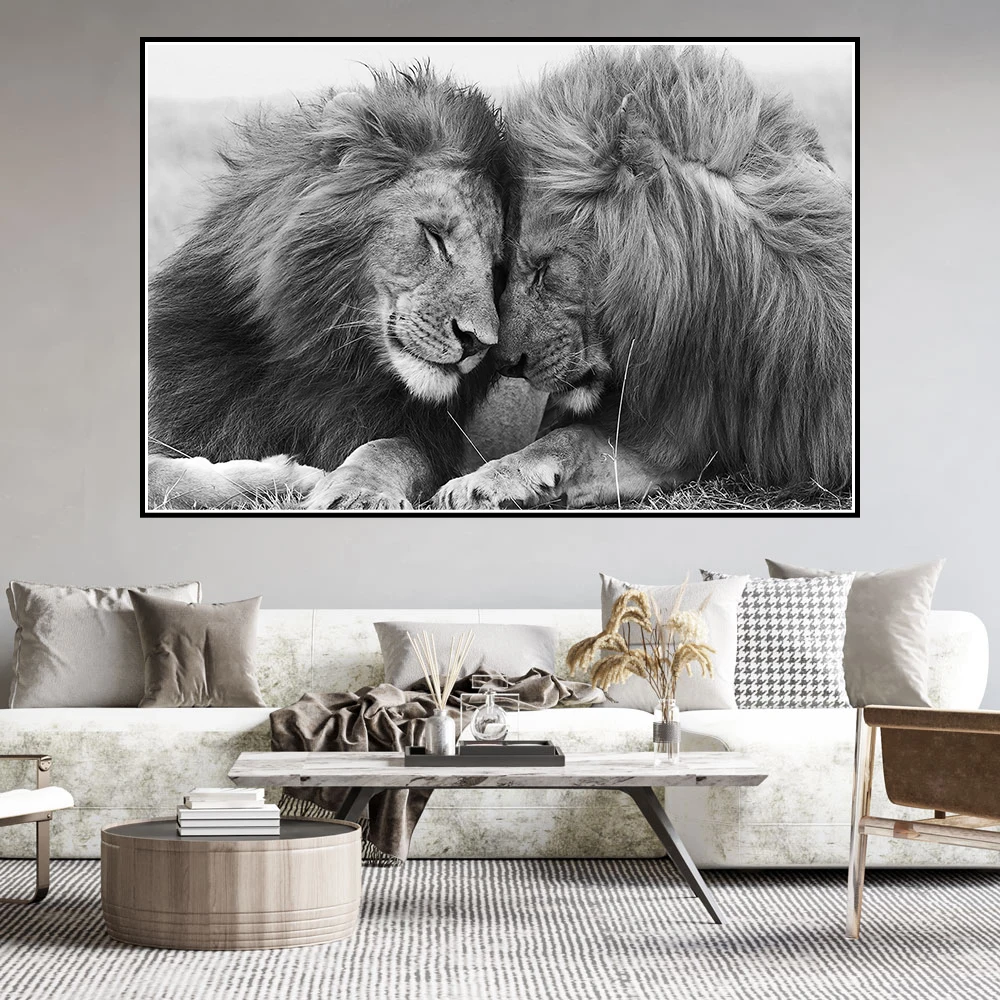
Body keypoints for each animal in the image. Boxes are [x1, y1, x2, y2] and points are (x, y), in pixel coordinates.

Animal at [147, 65, 508, 510]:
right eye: (435, 235)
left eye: (497, 267)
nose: (478, 342)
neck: (320, 357)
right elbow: (157, 472)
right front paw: (283, 476)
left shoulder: (432, 442)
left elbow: (390, 449)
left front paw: (358, 491)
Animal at [434, 46, 853, 510]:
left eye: (543, 267)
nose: (505, 366)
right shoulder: (670, 434)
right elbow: (567, 439)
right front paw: (486, 481)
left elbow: (567, 438)